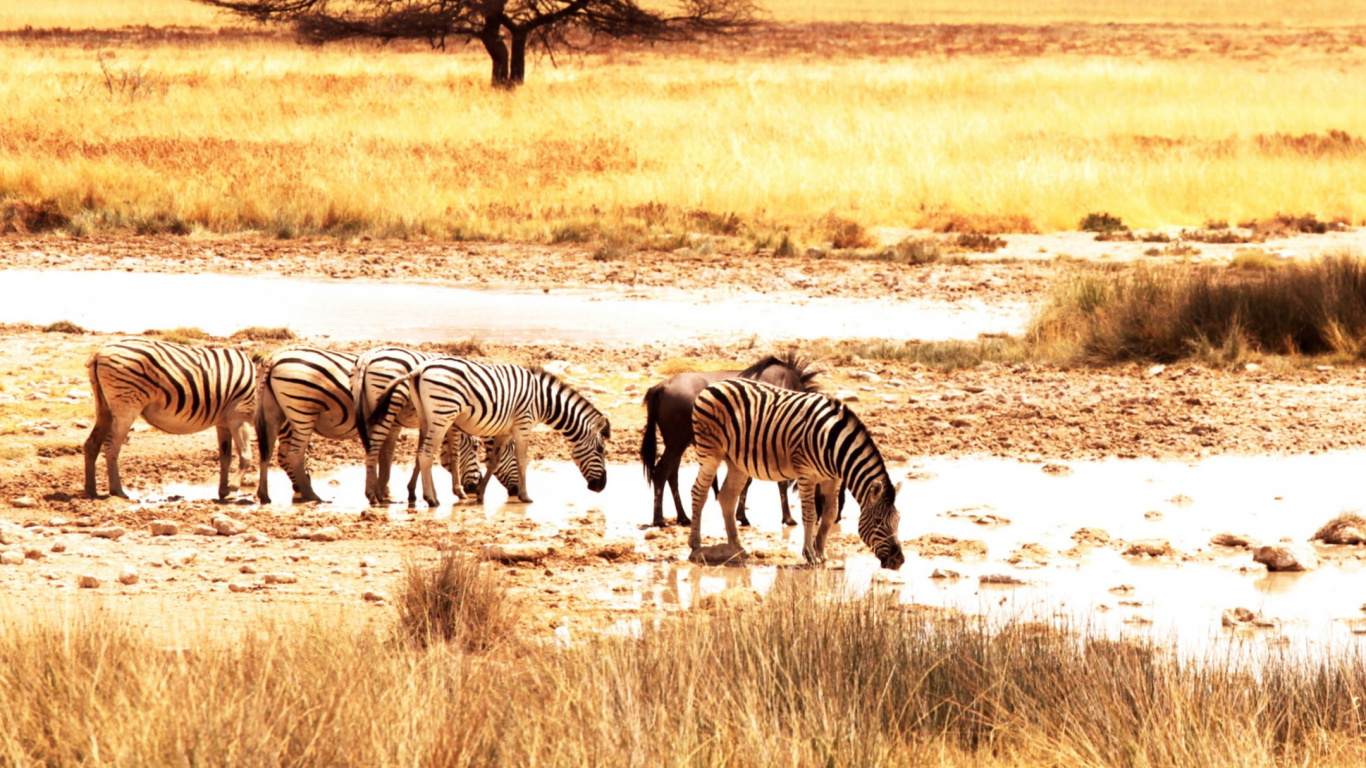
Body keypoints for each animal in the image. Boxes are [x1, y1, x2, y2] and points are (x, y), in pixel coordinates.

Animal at [83, 338, 256, 501]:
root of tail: (100, 351)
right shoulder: (239, 415)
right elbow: (246, 456)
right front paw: (233, 490)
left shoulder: (223, 423)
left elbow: (225, 458)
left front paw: (224, 491)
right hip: (126, 406)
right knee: (111, 445)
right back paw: (117, 491)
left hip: (104, 406)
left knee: (92, 443)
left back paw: (91, 491)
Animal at [257, 345, 518, 504]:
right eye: (476, 449)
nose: (474, 488)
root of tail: (274, 357)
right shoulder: (444, 418)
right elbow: (450, 453)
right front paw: (457, 491)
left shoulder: (410, 421)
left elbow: (397, 455)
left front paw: (397, 491)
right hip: (303, 410)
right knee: (292, 454)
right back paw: (312, 494)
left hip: (276, 413)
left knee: (268, 452)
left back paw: (268, 494)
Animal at [367, 357, 609, 507]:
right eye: (601, 450)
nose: (601, 487)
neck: (543, 401)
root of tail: (418, 370)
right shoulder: (524, 424)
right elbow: (522, 460)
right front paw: (525, 496)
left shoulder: (505, 429)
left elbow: (494, 461)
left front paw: (481, 494)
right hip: (443, 413)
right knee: (426, 454)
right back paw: (431, 499)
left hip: (427, 416)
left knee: (422, 454)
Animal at [688, 378, 905, 570]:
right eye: (878, 522)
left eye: (898, 520)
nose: (899, 561)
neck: (833, 444)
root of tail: (714, 384)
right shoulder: (806, 474)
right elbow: (810, 514)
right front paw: (810, 554)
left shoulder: (833, 478)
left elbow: (829, 514)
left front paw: (821, 553)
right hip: (710, 453)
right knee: (699, 492)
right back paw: (695, 544)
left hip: (737, 463)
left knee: (727, 497)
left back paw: (738, 548)